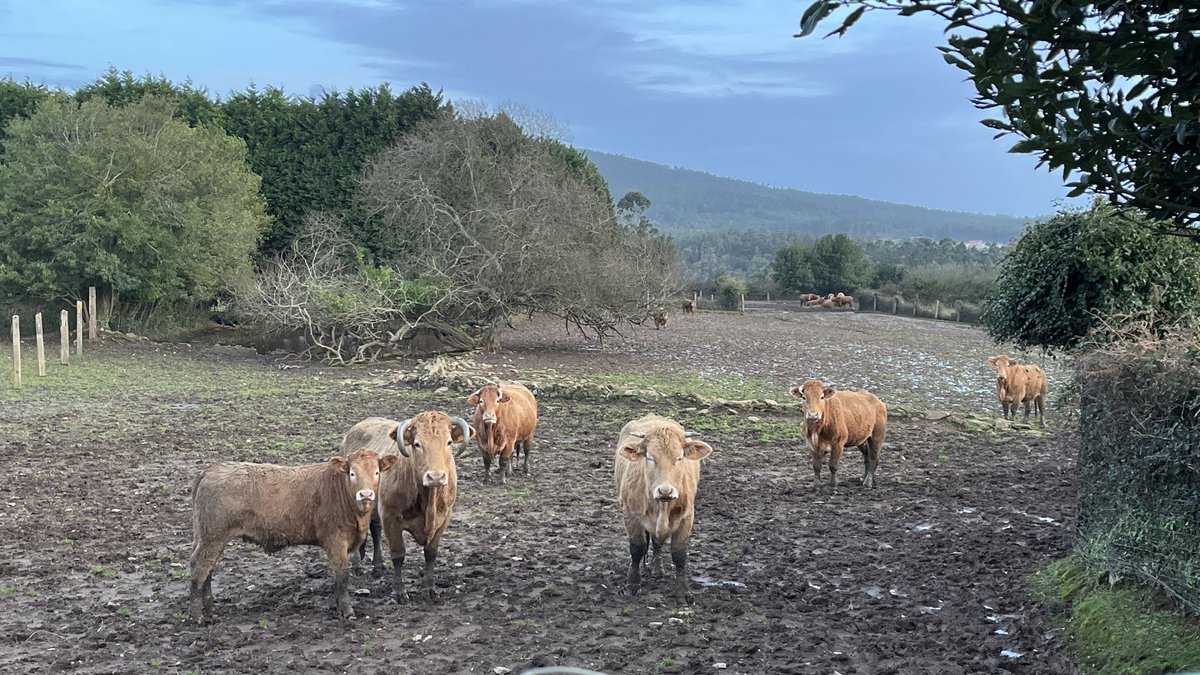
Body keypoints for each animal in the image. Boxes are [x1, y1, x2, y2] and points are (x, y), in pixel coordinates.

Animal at [188, 449, 397, 624]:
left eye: (376, 472)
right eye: (352, 473)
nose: (366, 494)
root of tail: (212, 469)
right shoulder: (336, 542)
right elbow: (343, 576)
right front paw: (347, 611)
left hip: (208, 538)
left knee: (208, 570)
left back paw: (210, 611)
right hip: (213, 537)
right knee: (200, 569)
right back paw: (198, 617)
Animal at [341, 413, 470, 603]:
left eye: (449, 442)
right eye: (417, 444)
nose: (436, 477)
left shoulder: (444, 517)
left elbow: (431, 553)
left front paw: (429, 589)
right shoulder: (390, 517)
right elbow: (398, 555)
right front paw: (399, 591)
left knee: (375, 530)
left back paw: (378, 566)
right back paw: (357, 564)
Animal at [613, 414, 713, 604]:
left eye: (679, 458)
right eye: (650, 458)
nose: (665, 491)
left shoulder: (687, 517)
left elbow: (679, 555)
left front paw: (683, 592)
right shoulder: (630, 516)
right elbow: (637, 549)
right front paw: (632, 585)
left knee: (657, 542)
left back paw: (657, 568)